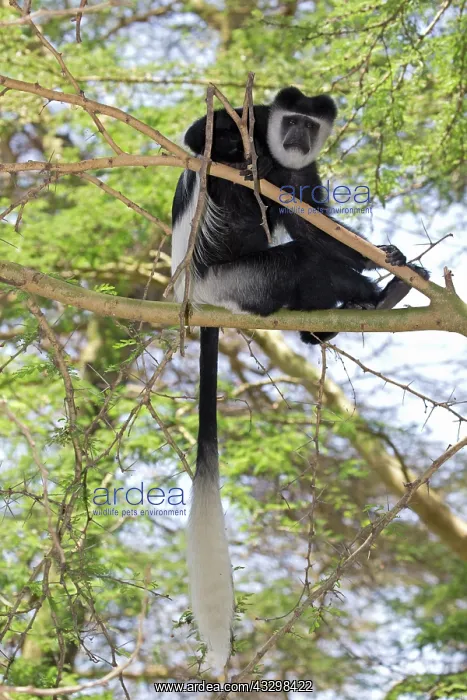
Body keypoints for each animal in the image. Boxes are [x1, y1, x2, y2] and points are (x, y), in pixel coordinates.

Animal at [171, 86, 429, 666]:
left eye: (310, 127)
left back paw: (356, 312)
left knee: (307, 244)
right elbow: (198, 137)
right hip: (243, 281)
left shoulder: (308, 165)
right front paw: (242, 162)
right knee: (299, 255)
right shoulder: (252, 121)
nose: (293, 137)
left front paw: (389, 259)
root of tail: (201, 298)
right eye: (289, 119)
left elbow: (312, 213)